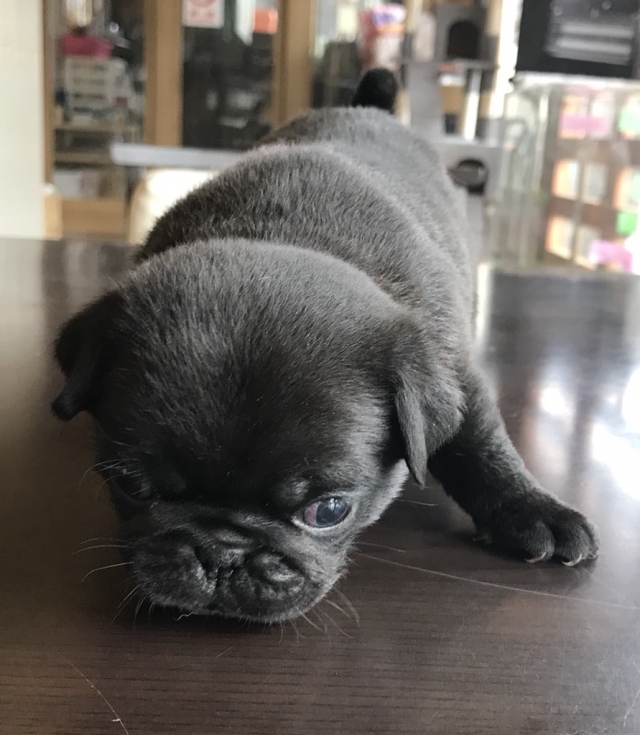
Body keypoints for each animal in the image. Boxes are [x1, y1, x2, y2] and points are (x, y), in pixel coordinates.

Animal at [52, 70, 598, 623]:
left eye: (329, 511)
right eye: (130, 485)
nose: (220, 555)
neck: (284, 237)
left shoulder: (455, 371)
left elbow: (483, 446)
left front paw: (533, 509)